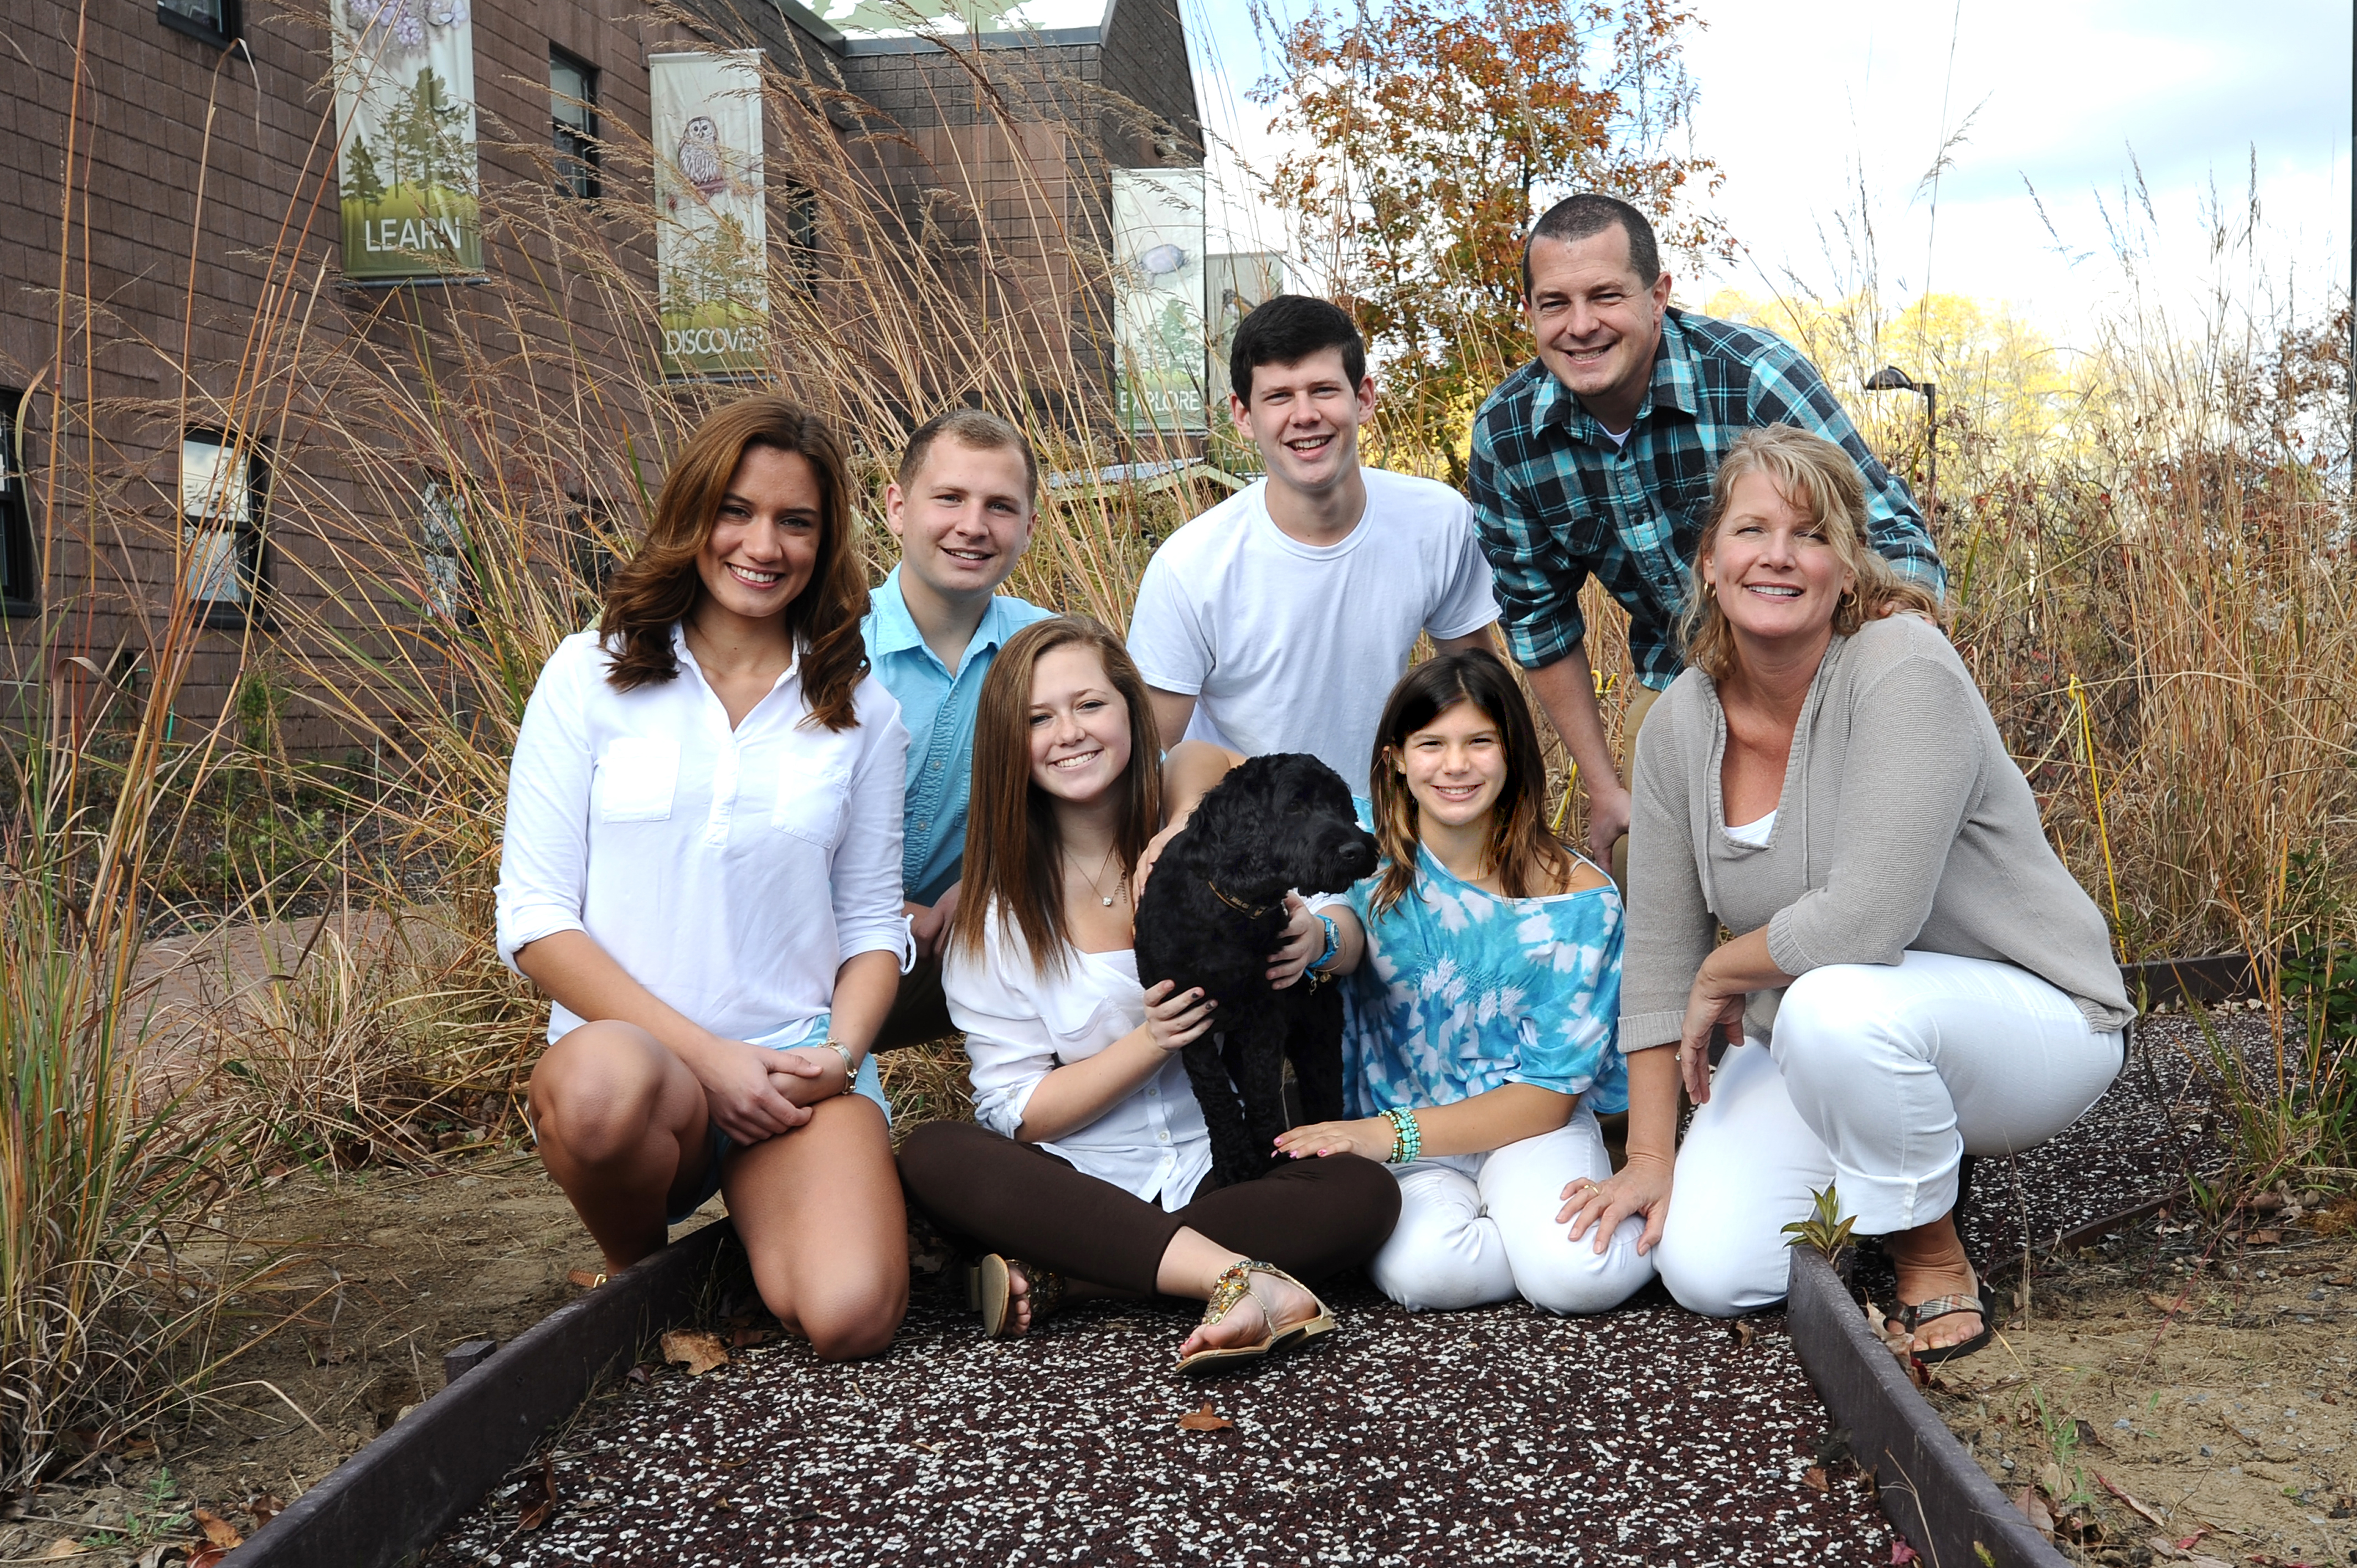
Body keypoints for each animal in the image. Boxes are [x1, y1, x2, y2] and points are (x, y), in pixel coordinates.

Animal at [1126, 754, 1376, 1188]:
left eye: (1340, 804)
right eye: (1294, 805)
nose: (1356, 849)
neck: (1230, 910)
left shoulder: (1264, 1017)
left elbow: (1262, 1089)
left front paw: (1270, 1152)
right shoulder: (1188, 1017)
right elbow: (1215, 1094)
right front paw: (1237, 1162)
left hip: (1317, 1035)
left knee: (1324, 1091)